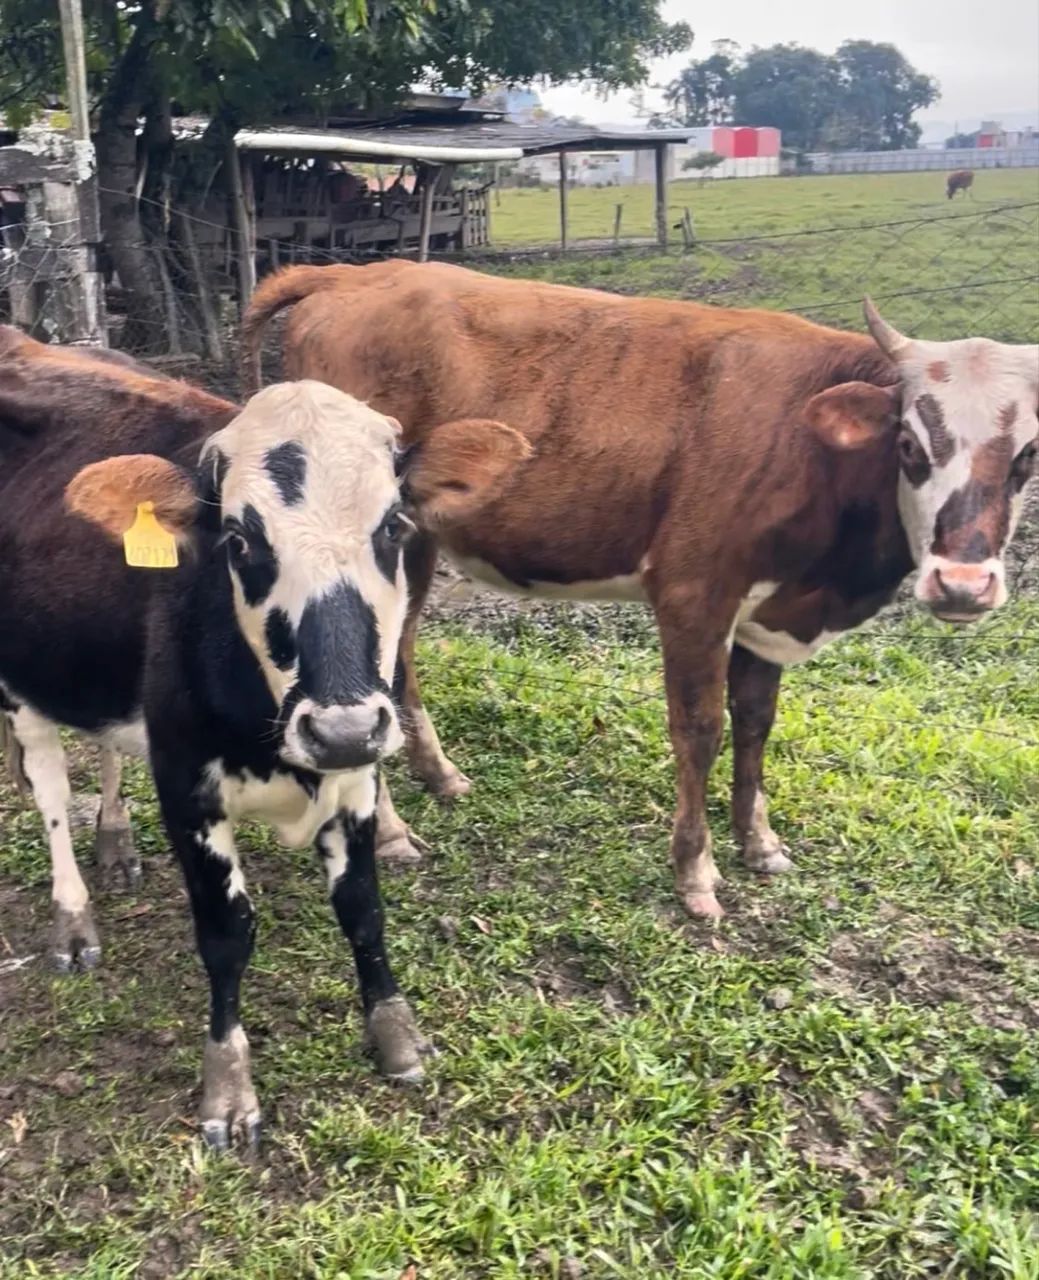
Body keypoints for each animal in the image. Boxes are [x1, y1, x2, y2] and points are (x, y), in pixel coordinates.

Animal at [0, 327, 529, 1146]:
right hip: (21, 682)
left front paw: (395, 1033)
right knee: (51, 789)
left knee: (104, 748)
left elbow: (363, 907)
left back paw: (116, 841)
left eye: (392, 526)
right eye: (239, 540)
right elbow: (226, 931)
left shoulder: (357, 771)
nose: (341, 727)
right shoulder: (186, 786)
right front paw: (228, 1083)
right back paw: (74, 918)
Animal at [241, 261, 1039, 921]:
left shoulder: (765, 610)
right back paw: (391, 830)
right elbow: (701, 729)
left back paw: (437, 776)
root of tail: (352, 273)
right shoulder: (693, 592)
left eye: (1028, 455)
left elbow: (756, 722)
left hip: (416, 540)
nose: (962, 584)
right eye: (908, 444)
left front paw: (759, 841)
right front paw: (696, 873)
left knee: (400, 654)